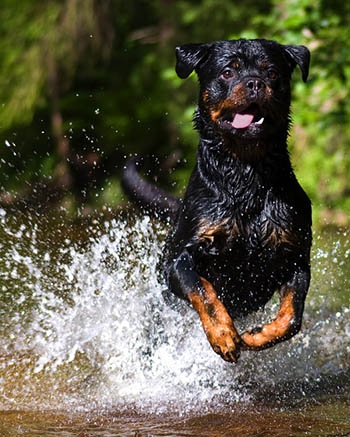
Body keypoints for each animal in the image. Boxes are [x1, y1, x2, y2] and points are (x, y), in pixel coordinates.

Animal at [123, 40, 312, 362]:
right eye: (227, 72)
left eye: (272, 72)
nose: (255, 82)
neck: (246, 174)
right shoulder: (180, 260)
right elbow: (203, 291)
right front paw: (223, 334)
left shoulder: (296, 256)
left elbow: (291, 316)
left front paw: (258, 336)